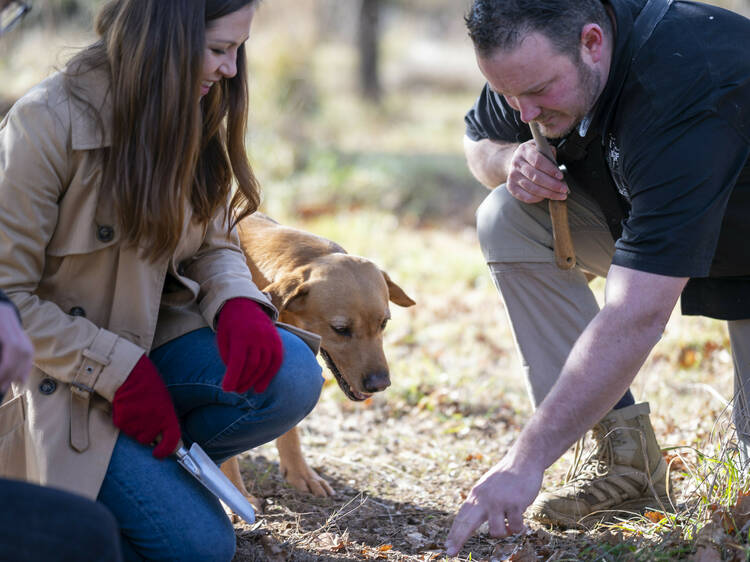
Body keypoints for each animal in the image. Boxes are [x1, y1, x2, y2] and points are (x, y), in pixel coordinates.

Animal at [220, 213, 418, 498]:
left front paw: (300, 474)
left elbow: (291, 428)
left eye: (384, 323)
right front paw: (234, 494)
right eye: (340, 329)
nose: (381, 384)